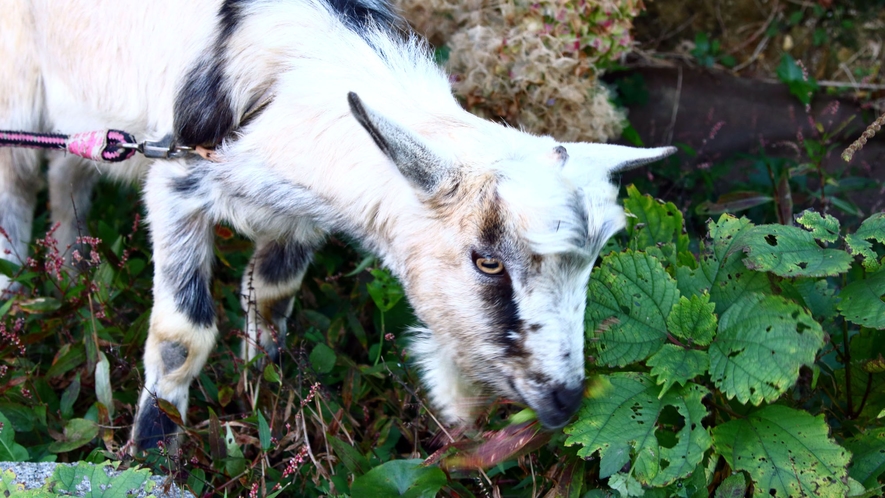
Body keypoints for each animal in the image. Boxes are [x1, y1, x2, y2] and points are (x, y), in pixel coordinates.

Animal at [0, 0, 668, 452]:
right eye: (487, 260)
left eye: (590, 265)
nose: (563, 402)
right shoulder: (177, 185)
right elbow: (181, 337)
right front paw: (151, 454)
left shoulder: (296, 214)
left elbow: (271, 300)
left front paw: (265, 395)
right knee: (18, 183)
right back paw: (16, 296)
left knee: (68, 171)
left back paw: (75, 275)